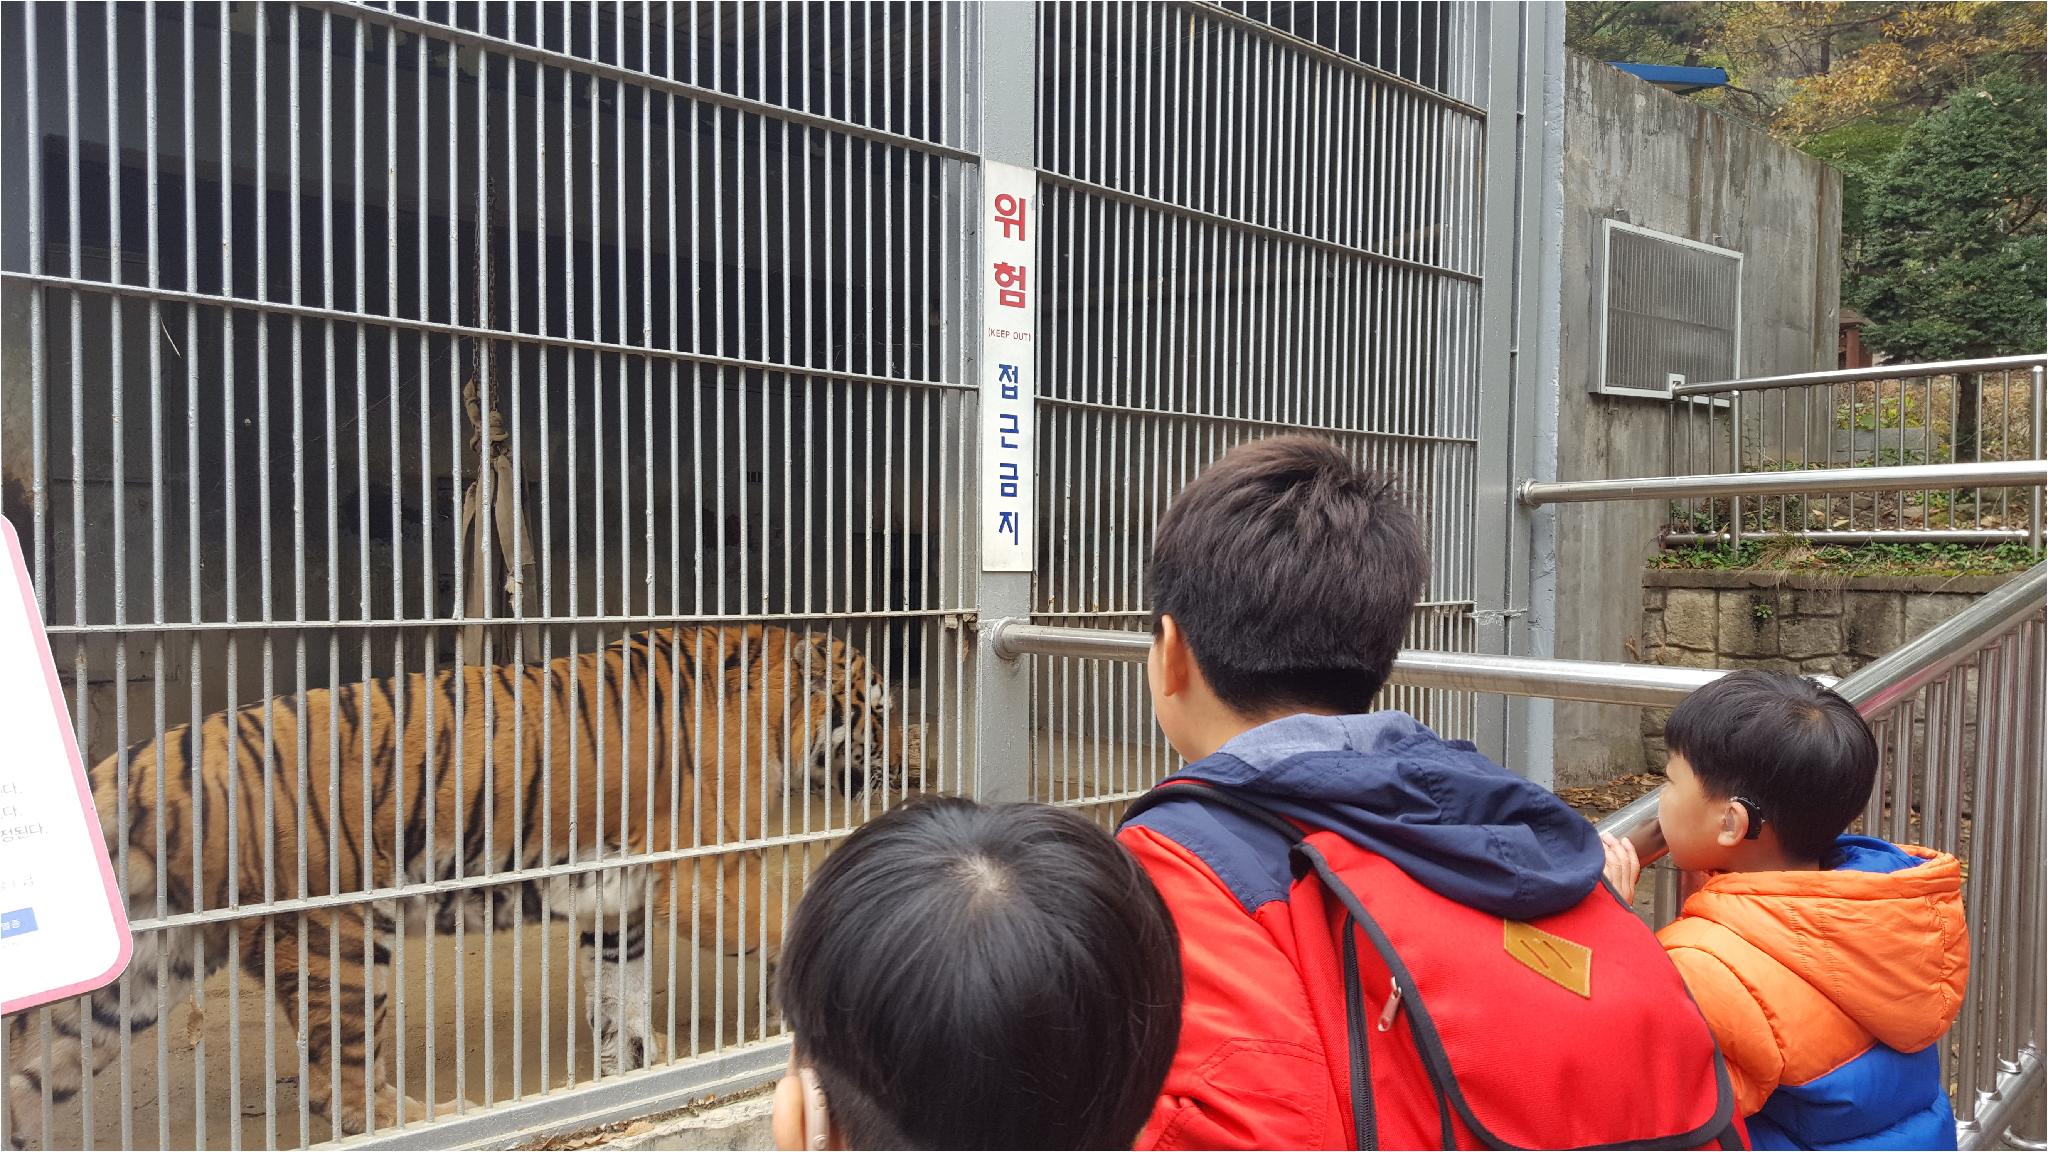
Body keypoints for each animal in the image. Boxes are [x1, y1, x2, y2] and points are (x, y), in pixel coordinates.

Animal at [0, 623, 913, 1139]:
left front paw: (630, 1072)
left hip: (136, 980)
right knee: (339, 1088)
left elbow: (621, 995)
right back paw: (441, 1119)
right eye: (875, 709)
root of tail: (142, 761)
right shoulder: (701, 870)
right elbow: (788, 916)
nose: (915, 760)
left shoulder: (615, 896)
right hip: (341, 940)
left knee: (29, 1076)